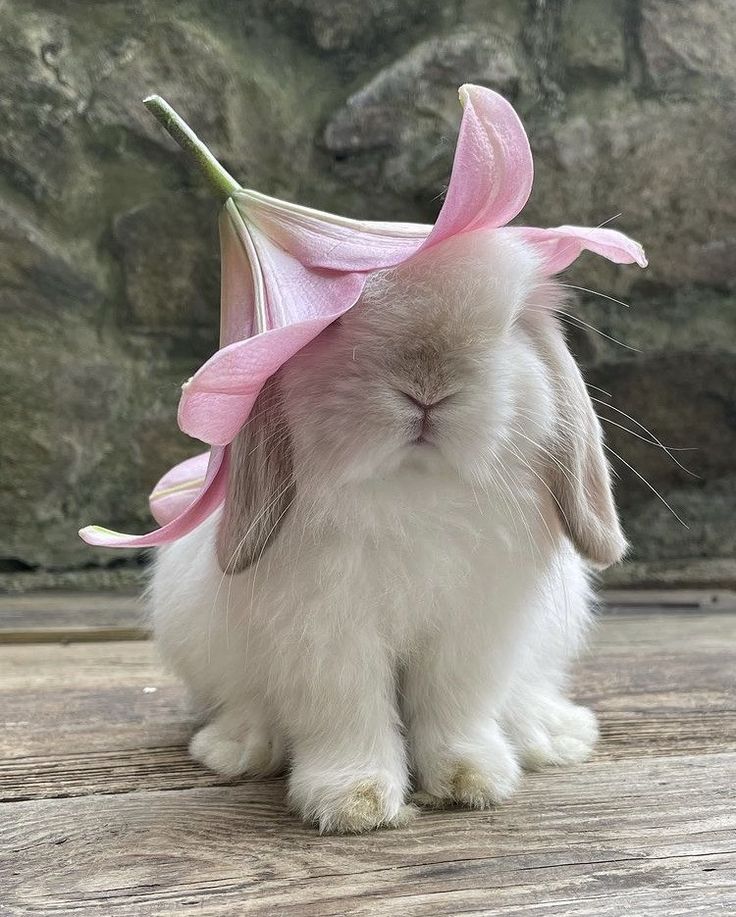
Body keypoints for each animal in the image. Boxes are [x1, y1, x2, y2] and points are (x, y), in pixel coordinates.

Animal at [152, 227, 624, 832]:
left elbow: (457, 705)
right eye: (332, 323)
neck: (413, 493)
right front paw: (353, 802)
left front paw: (472, 781)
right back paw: (239, 748)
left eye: (512, 322)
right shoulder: (326, 634)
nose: (428, 384)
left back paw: (551, 735)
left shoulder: (474, 630)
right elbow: (346, 711)